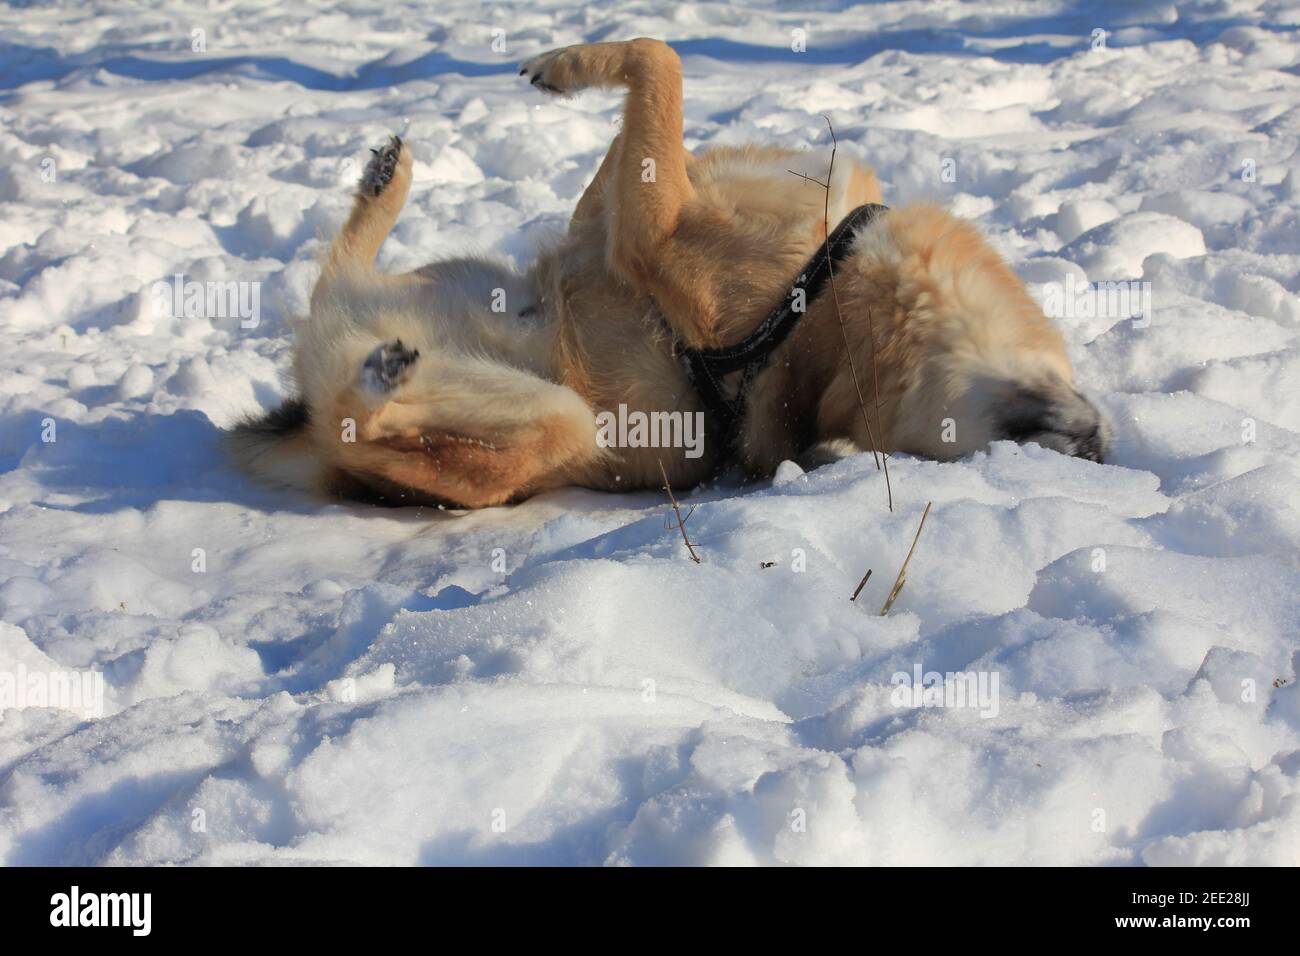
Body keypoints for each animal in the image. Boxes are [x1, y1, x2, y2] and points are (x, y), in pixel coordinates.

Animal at [226, 39, 1107, 509]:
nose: (1097, 446)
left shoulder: (654, 237)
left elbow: (663, 62)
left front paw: (566, 65)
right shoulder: (616, 219)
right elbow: (640, 127)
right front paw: (572, 68)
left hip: (551, 421)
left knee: (381, 420)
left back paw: (383, 375)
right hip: (449, 281)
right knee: (337, 274)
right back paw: (385, 185)